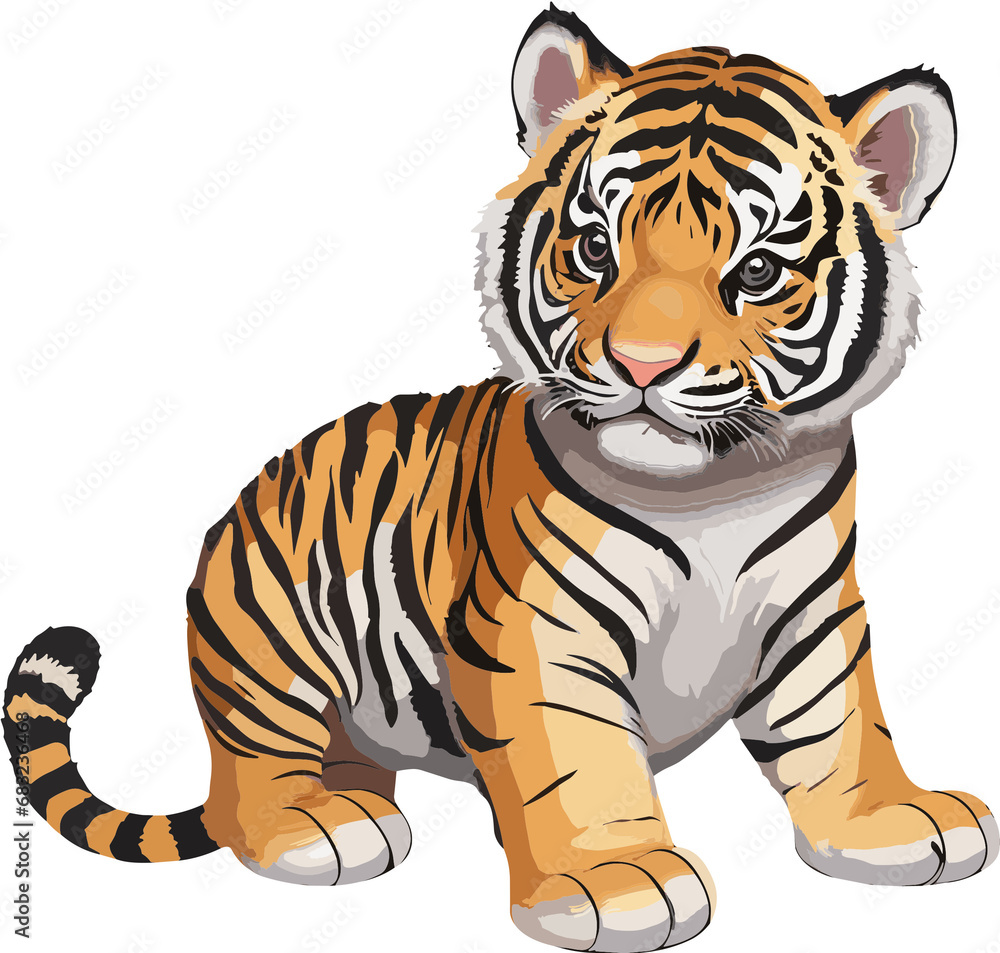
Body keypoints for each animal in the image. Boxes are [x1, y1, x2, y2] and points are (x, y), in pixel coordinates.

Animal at [4, 6, 995, 951]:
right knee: (253, 778)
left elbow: (840, 720)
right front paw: (616, 881)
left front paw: (890, 820)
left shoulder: (816, 606)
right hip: (264, 648)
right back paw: (316, 826)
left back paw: (365, 806)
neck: (712, 495)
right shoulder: (538, 624)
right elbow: (574, 755)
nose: (642, 364)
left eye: (755, 271)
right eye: (594, 248)